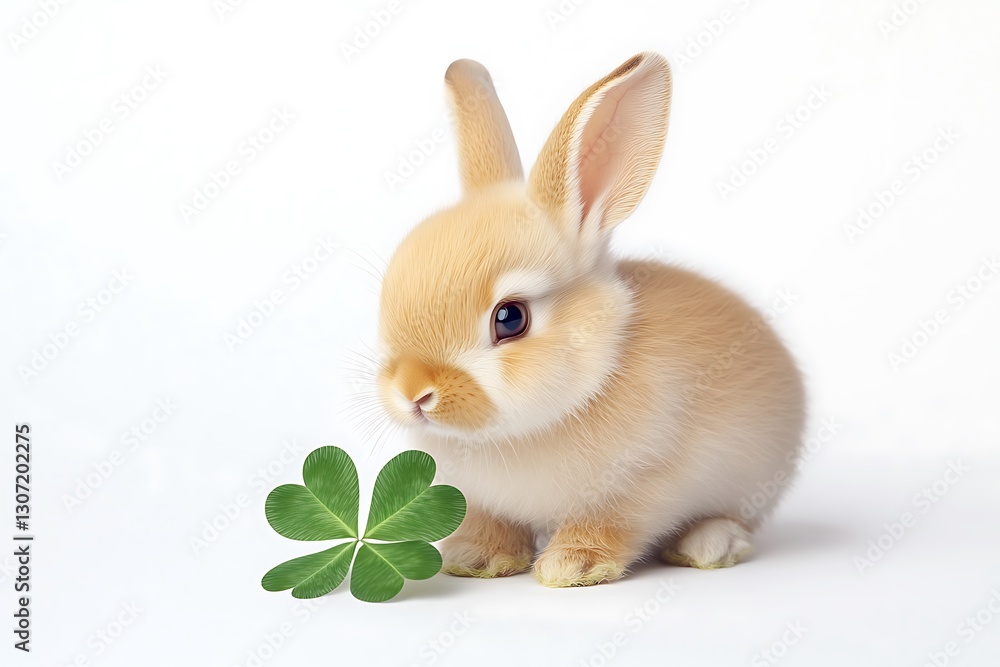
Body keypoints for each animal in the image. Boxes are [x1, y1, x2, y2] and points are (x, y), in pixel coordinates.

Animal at [374, 52, 805, 587]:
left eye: (510, 318)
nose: (413, 392)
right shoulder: (482, 500)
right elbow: (492, 524)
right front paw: (475, 558)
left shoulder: (642, 481)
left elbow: (609, 522)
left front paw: (572, 565)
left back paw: (709, 544)